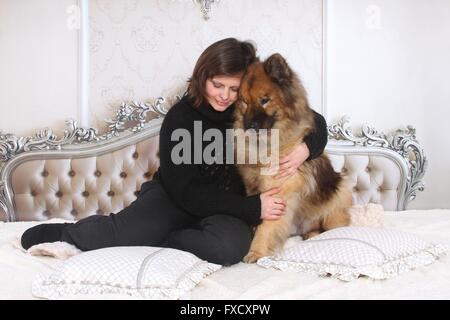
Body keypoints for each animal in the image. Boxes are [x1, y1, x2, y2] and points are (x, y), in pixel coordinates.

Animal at [234, 53, 354, 262]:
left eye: (265, 100)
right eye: (244, 101)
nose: (250, 125)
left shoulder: (277, 194)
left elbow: (265, 228)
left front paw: (256, 252)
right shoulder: (254, 191)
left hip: (339, 191)